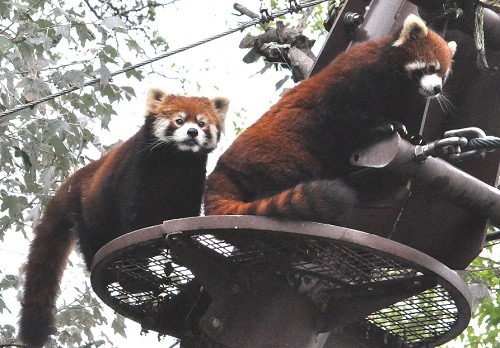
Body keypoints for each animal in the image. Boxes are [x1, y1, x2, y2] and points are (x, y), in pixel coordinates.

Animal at [18, 87, 229, 348]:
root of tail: (76, 178)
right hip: (91, 211)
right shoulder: (138, 170)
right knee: (94, 241)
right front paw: (138, 272)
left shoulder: (191, 180)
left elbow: (183, 215)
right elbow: (134, 220)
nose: (192, 132)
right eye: (179, 120)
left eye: (201, 123)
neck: (176, 161)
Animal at [204, 14, 458, 223]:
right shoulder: (356, 78)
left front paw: (416, 137)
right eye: (430, 68)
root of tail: (221, 167)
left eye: (443, 75)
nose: (436, 89)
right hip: (283, 151)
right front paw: (384, 125)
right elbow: (343, 112)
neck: (397, 83)